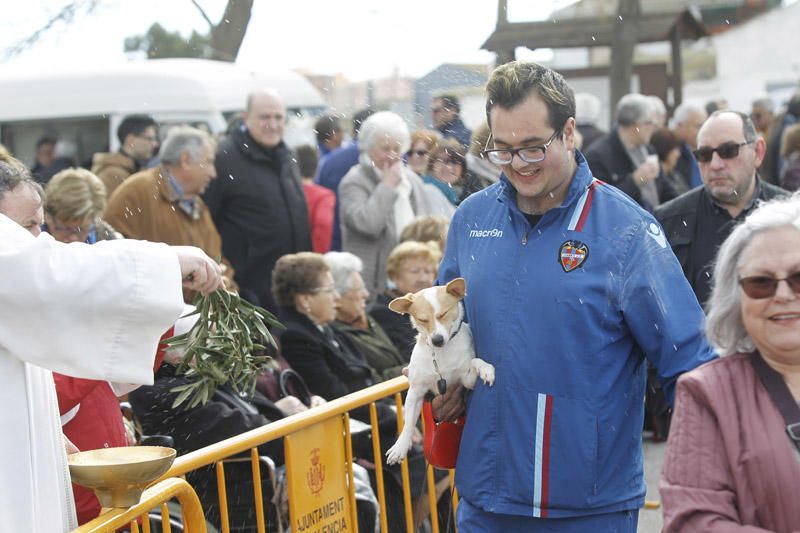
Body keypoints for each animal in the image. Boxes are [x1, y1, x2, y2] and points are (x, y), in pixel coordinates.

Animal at [386, 276, 494, 464]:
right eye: (422, 320)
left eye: (443, 314)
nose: (437, 340)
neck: (442, 354)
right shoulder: (415, 392)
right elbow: (409, 423)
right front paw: (401, 446)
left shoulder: (467, 382)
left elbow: (475, 361)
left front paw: (486, 368)